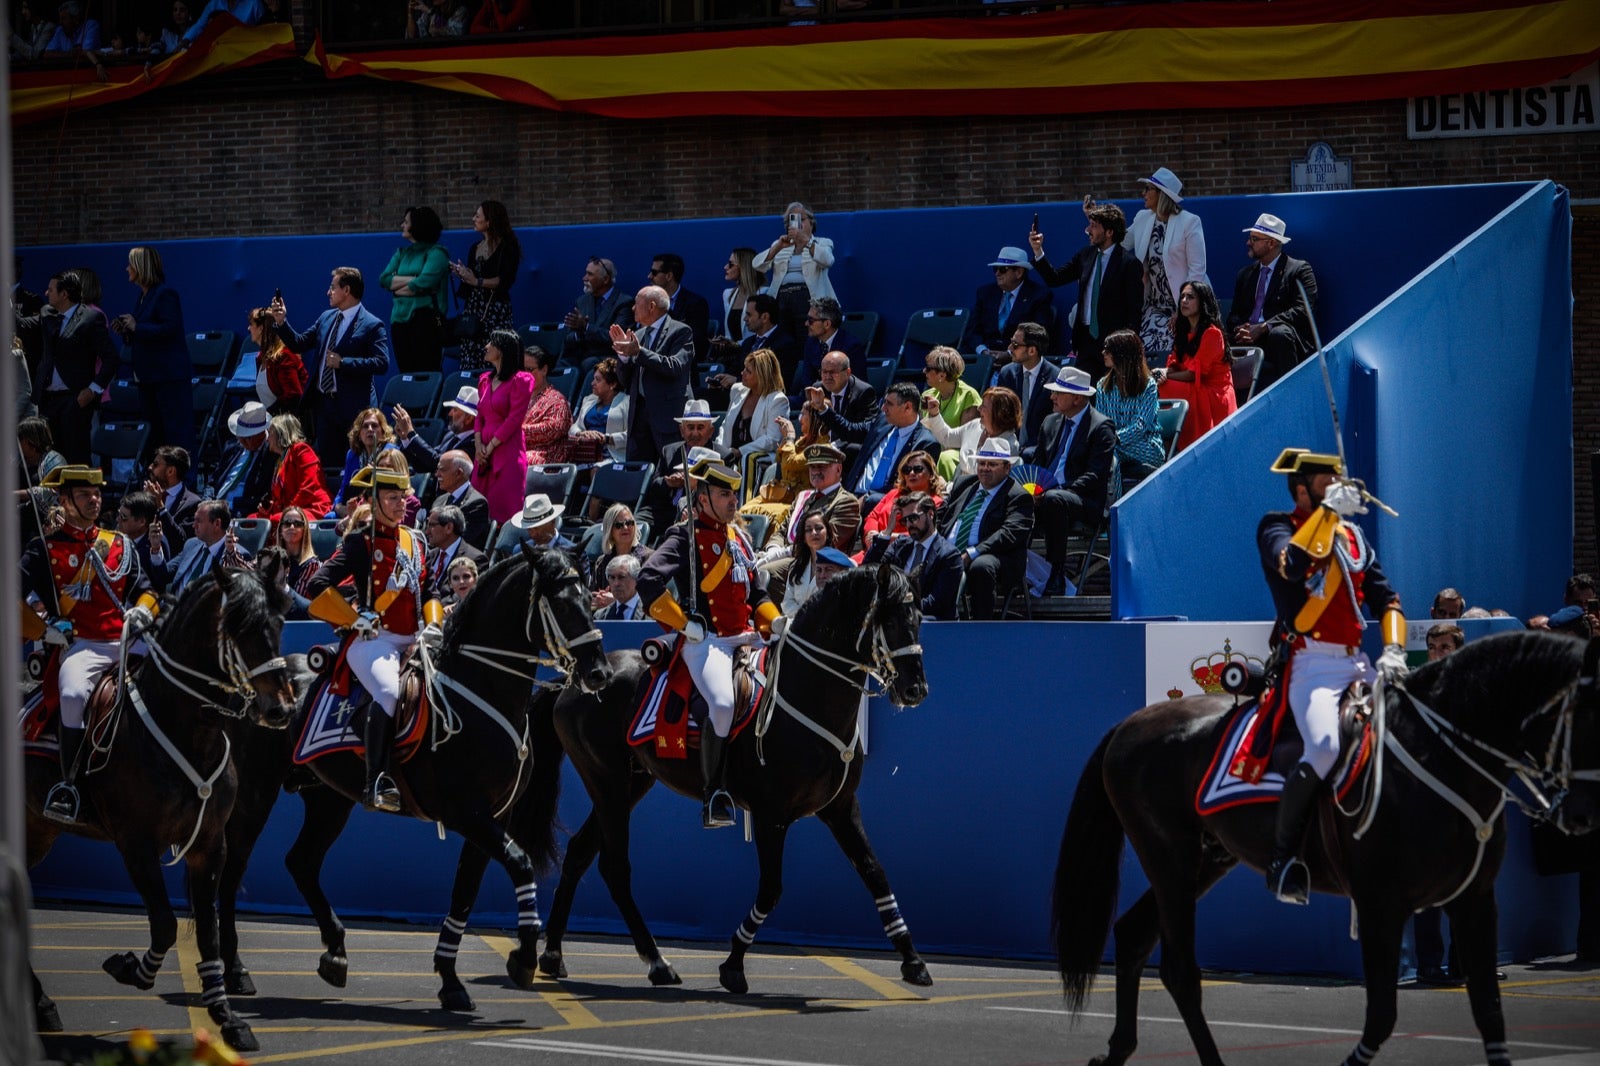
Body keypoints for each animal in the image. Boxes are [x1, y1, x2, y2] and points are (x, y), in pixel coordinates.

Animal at [25, 550, 297, 1049]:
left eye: (279, 622)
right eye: (238, 628)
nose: (280, 709)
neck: (189, 730)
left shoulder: (211, 845)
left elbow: (206, 930)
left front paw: (228, 1018)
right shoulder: (135, 845)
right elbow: (168, 924)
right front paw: (131, 968)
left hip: (39, 829)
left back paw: (42, 1004)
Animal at [214, 544, 611, 998]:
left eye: (591, 600)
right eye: (561, 603)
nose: (599, 672)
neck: (480, 691)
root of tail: (255, 686)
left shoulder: (492, 816)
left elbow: (465, 892)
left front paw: (451, 980)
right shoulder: (467, 813)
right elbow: (520, 863)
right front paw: (524, 957)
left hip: (327, 799)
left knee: (301, 862)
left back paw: (335, 953)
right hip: (256, 793)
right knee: (233, 869)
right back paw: (235, 969)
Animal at [419, 557, 934, 1005]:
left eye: (919, 618)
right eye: (891, 620)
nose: (915, 689)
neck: (805, 695)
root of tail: (570, 684)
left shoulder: (841, 808)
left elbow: (875, 873)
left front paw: (913, 962)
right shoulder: (772, 817)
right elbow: (771, 889)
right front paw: (733, 965)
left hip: (629, 785)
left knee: (582, 855)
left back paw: (555, 955)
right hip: (608, 783)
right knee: (613, 867)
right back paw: (654, 961)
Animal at [1049, 630, 1600, 1062]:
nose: (1582, 814)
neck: (1437, 755)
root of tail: (1132, 723)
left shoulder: (1475, 902)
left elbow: (1488, 1011)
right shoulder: (1381, 906)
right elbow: (1381, 1016)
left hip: (1205, 860)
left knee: (1133, 936)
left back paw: (1117, 1050)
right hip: (1170, 860)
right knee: (1179, 970)